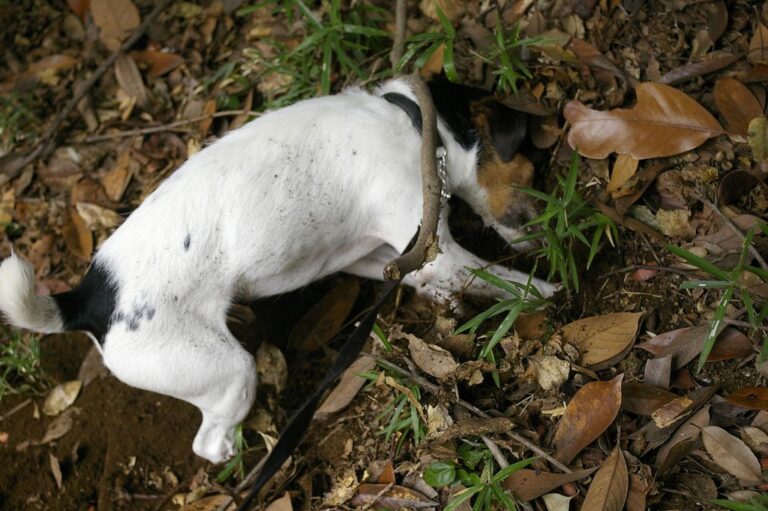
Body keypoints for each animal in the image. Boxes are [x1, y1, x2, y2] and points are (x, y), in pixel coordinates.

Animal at [0, 76, 556, 464]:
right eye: (533, 167)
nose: (550, 228)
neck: (414, 123)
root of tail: (86, 299)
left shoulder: (386, 256)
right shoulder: (435, 247)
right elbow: (504, 282)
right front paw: (551, 295)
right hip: (223, 369)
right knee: (209, 440)